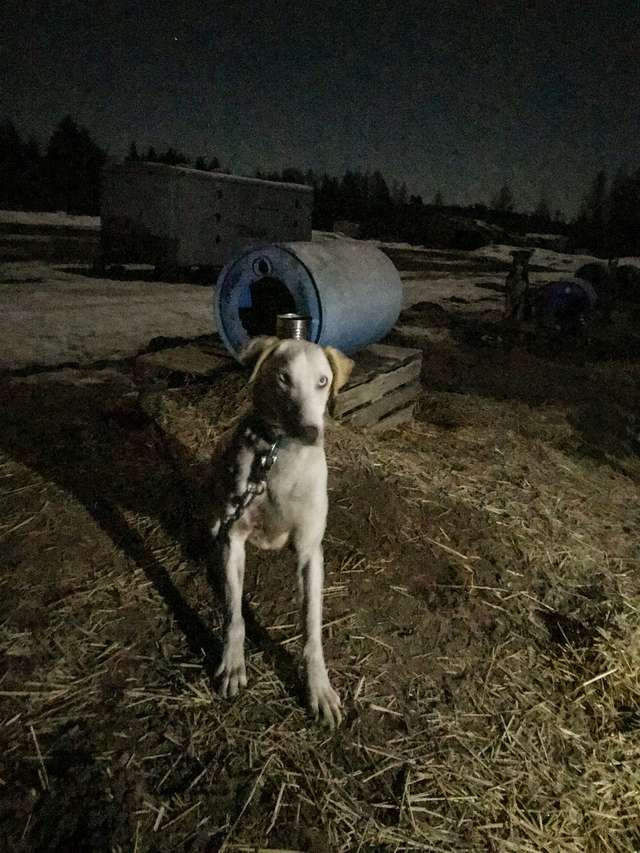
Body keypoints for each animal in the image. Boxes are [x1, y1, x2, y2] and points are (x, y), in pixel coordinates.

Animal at [208, 332, 352, 724]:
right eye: (283, 378)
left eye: (323, 381)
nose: (310, 432)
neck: (277, 457)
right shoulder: (233, 541)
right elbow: (234, 614)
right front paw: (232, 664)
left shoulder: (310, 553)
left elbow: (312, 627)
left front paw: (319, 688)